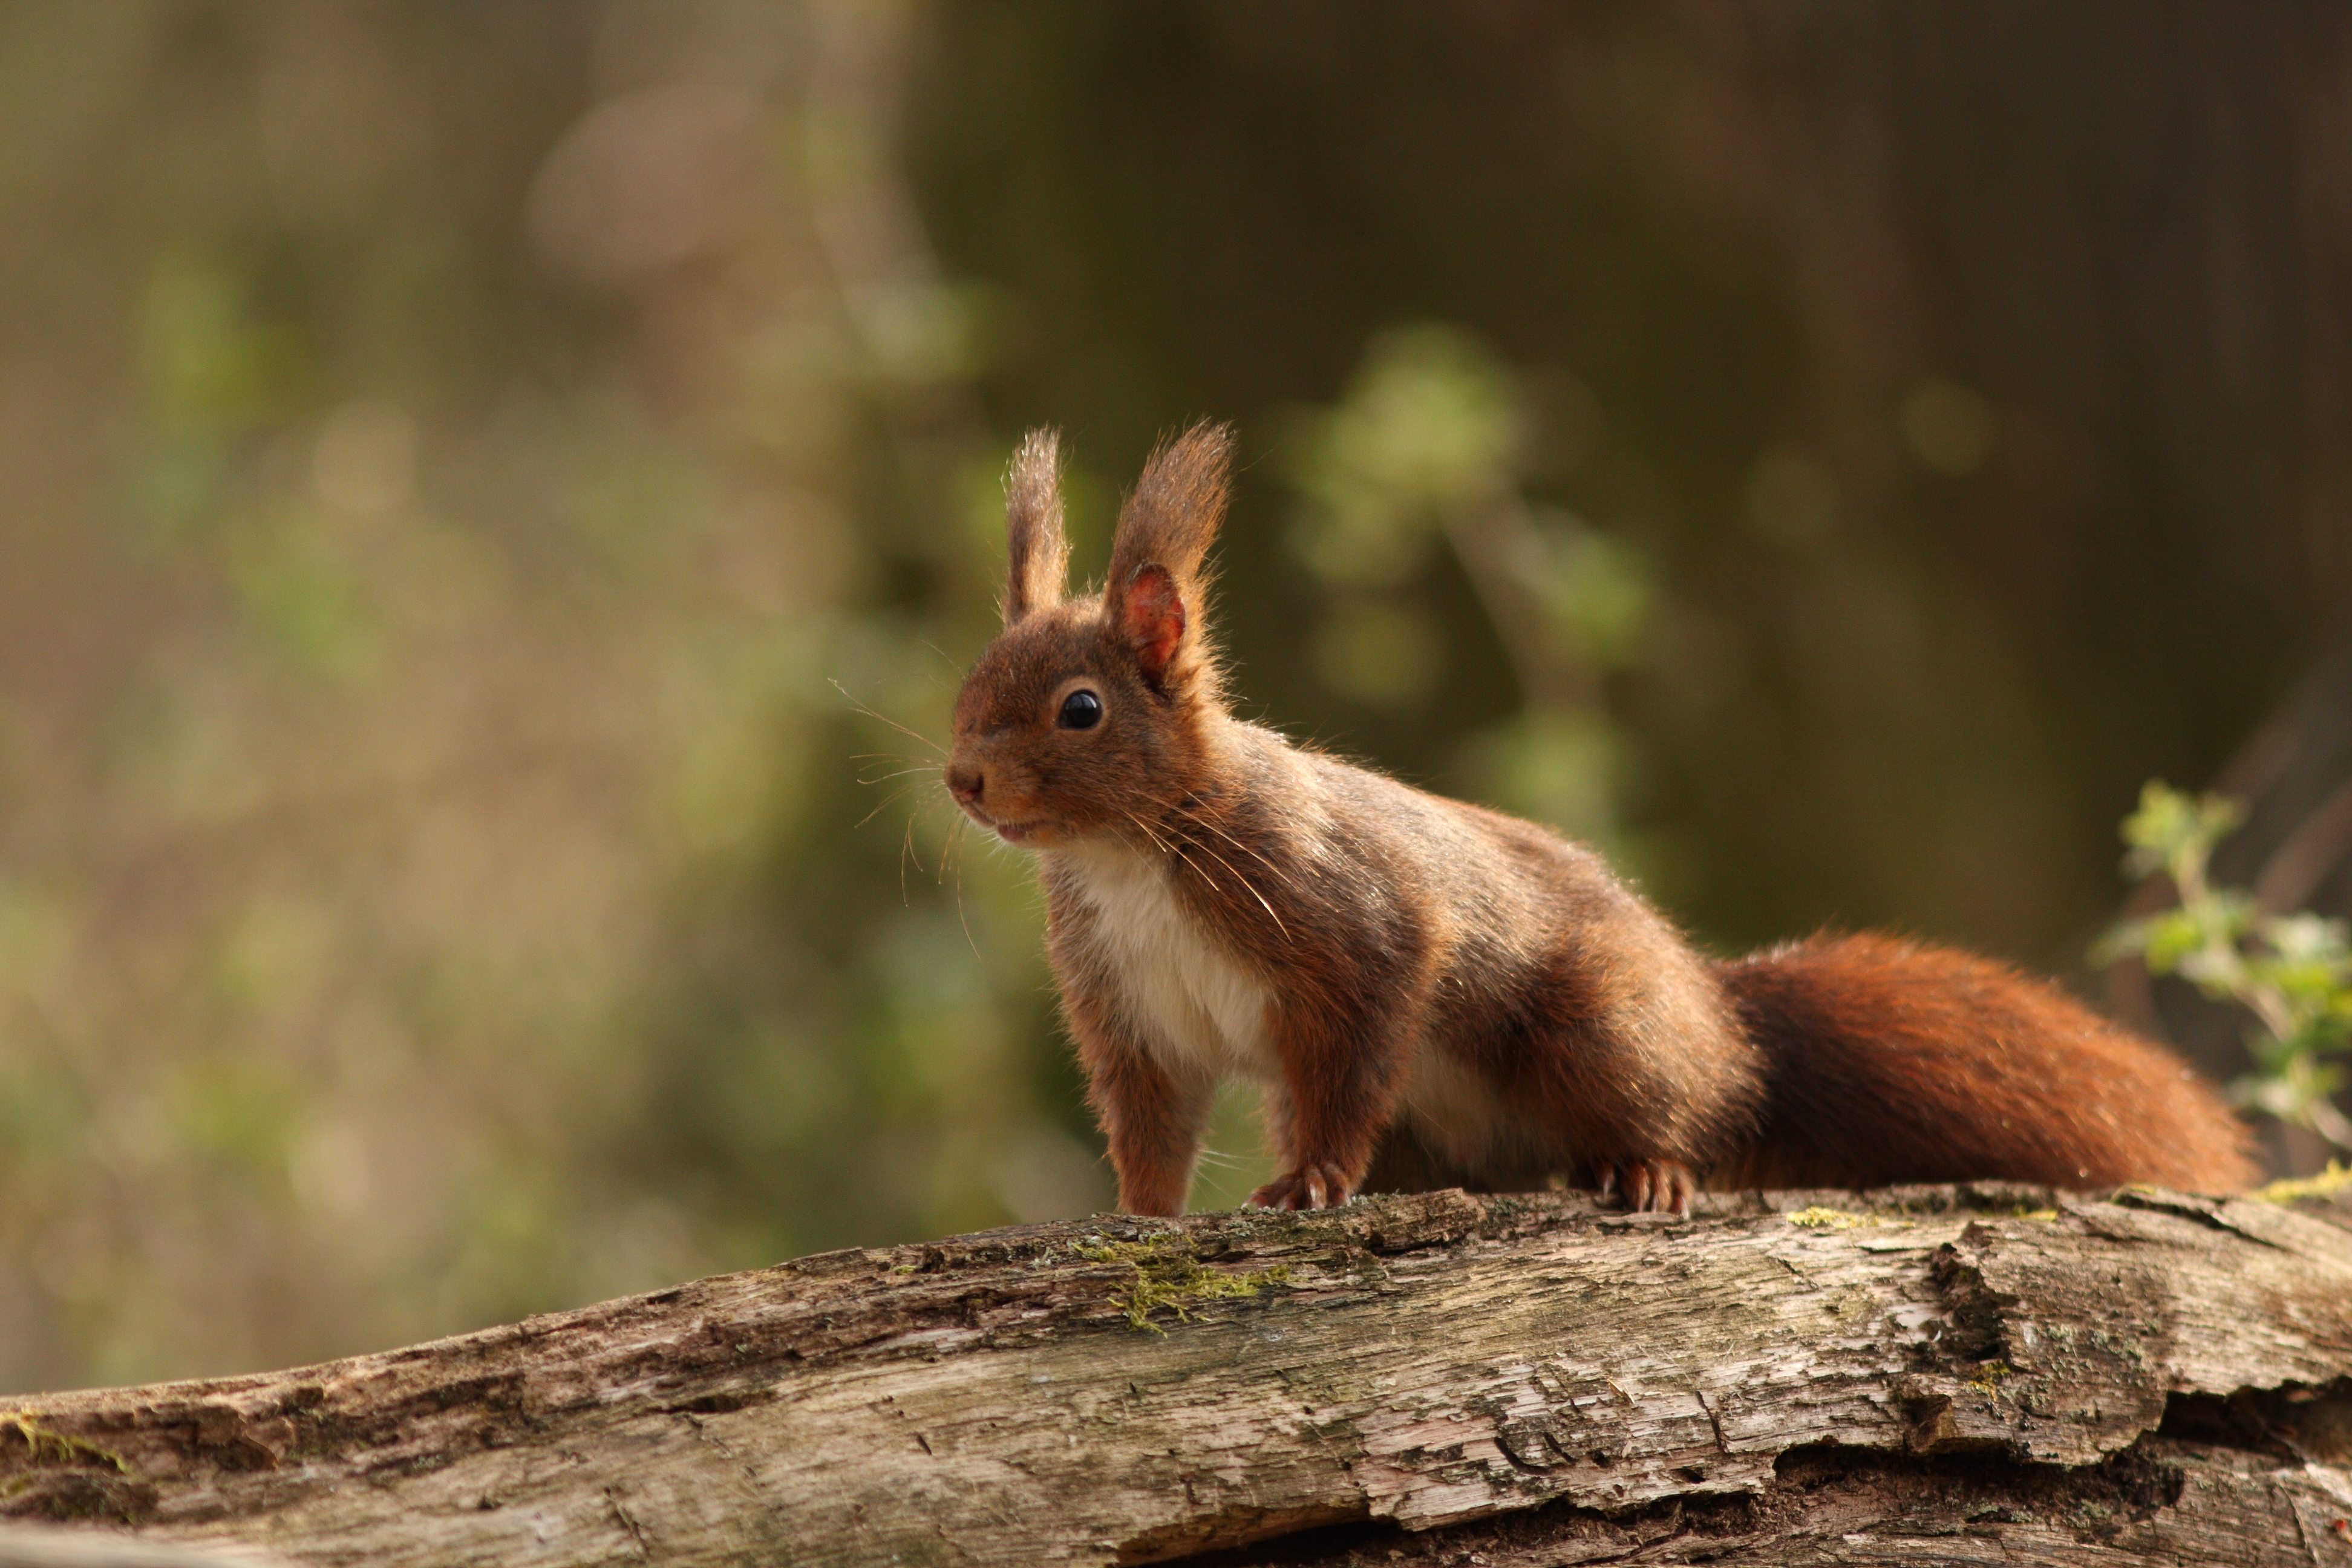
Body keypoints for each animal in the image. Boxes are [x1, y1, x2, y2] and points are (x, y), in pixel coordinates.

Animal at [936, 423, 2258, 1222]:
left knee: (1672, 1109)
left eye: (1081, 709)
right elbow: (1150, 1126)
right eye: (971, 678)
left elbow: (1361, 1048)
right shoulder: (1127, 1008)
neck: (1131, 858)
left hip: (1596, 1027)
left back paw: (1649, 1168)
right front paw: (1136, 1221)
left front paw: (1310, 1181)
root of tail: (1722, 1015)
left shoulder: (1350, 919)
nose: (961, 781)